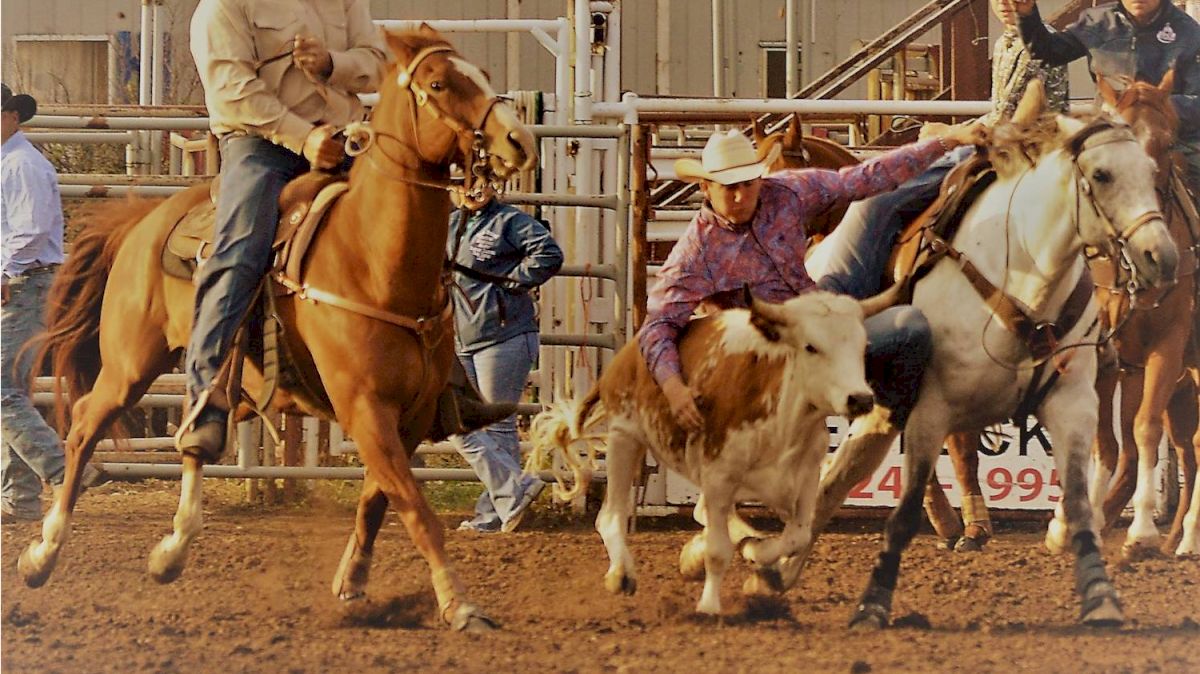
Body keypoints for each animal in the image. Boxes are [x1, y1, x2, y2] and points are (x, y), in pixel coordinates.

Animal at [15, 23, 535, 628]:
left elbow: (378, 501)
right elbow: (416, 509)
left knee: (195, 440)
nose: (518, 141)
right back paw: (43, 554)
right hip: (129, 366)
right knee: (82, 430)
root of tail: (144, 220)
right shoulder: (365, 411)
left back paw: (172, 551)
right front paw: (459, 603)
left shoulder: (409, 418)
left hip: (229, 387)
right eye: (438, 83)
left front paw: (352, 584)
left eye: (484, 75)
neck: (373, 259)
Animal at [806, 85, 1180, 628]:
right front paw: (873, 604)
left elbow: (1081, 500)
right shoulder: (932, 409)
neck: (1021, 273)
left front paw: (1100, 595)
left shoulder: (1073, 403)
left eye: (1153, 170)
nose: (1162, 257)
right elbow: (906, 507)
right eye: (1102, 175)